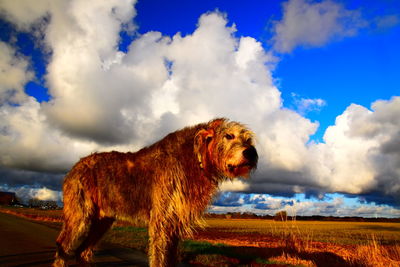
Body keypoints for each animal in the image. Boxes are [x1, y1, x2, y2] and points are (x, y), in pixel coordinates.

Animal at [53, 119, 258, 267]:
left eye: (248, 140)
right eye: (229, 135)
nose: (251, 153)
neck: (193, 157)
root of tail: (74, 167)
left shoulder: (175, 223)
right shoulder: (162, 221)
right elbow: (159, 257)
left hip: (103, 221)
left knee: (82, 251)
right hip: (79, 215)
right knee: (62, 245)